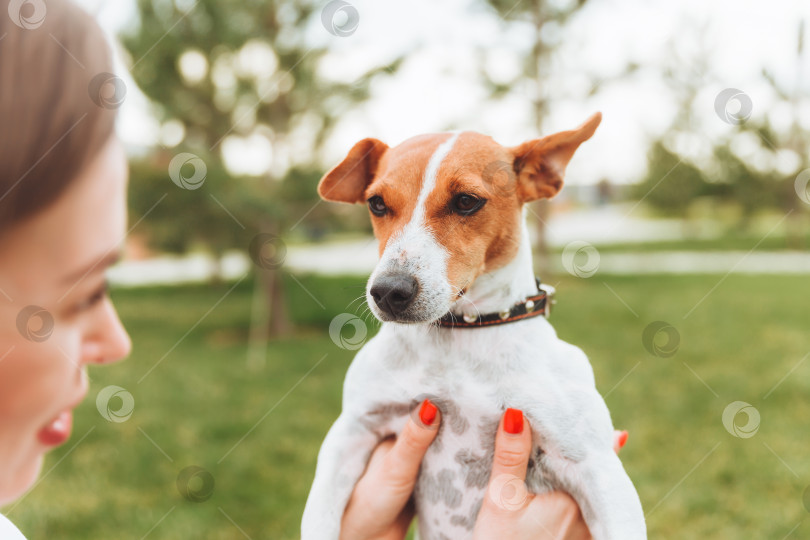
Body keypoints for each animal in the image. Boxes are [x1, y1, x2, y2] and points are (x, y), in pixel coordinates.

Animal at [300, 114, 648, 540]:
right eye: (376, 203)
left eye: (466, 201)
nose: (388, 292)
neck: (458, 335)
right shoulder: (350, 432)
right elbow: (318, 516)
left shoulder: (596, 467)